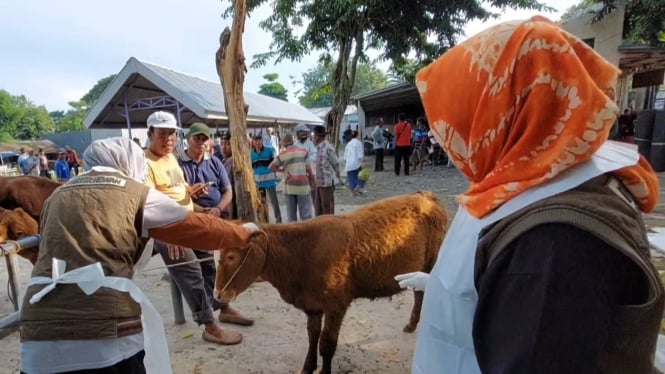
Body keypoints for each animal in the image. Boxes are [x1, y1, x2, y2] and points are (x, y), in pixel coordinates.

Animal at [215, 191, 448, 372]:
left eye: (232, 256)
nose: (218, 293)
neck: (302, 253)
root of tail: (426, 196)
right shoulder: (313, 306)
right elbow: (312, 336)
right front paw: (307, 368)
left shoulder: (336, 305)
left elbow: (327, 343)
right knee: (419, 292)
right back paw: (412, 324)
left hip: (433, 261)